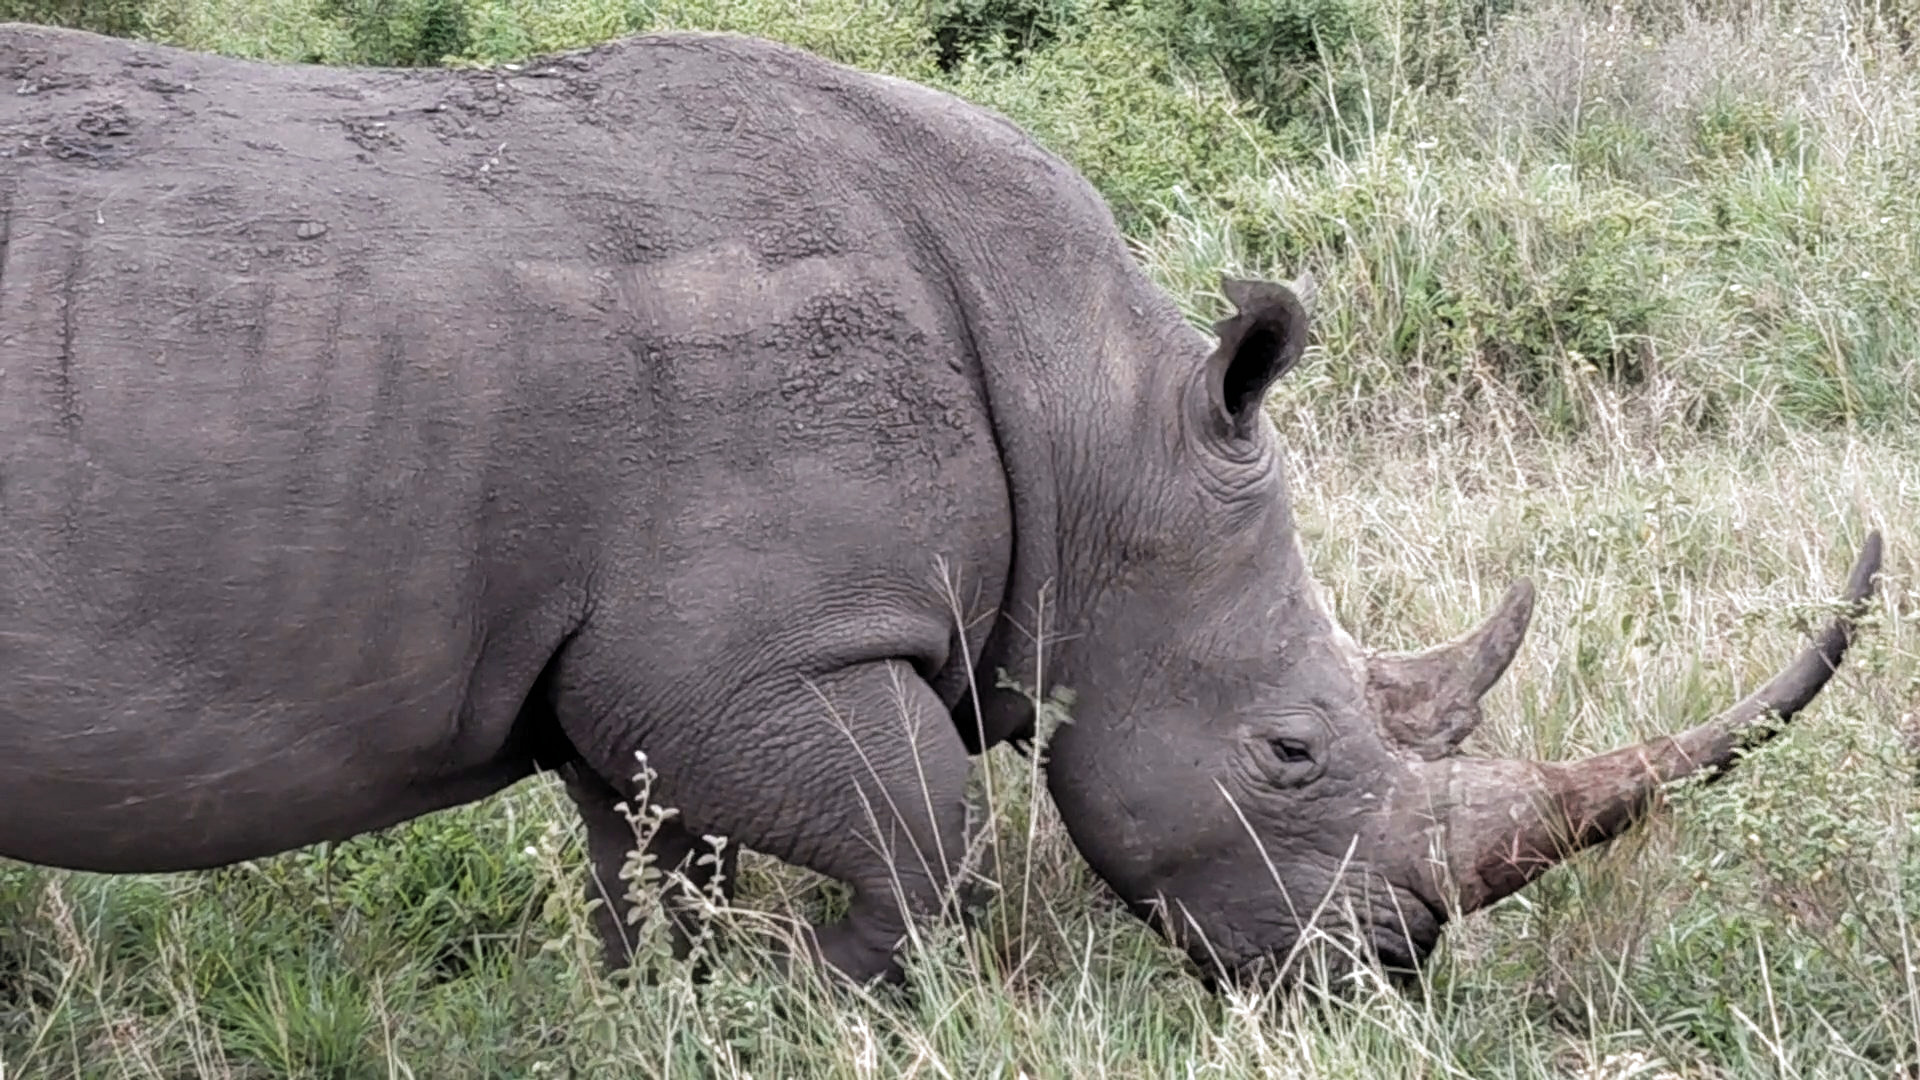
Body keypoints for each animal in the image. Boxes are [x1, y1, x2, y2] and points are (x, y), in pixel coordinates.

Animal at [0, 22, 1885, 990]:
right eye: (1290, 753)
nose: (1384, 969)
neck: (1092, 420)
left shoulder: (644, 674)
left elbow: (661, 885)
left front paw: (700, 1018)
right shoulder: (758, 653)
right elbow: (930, 839)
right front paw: (852, 997)